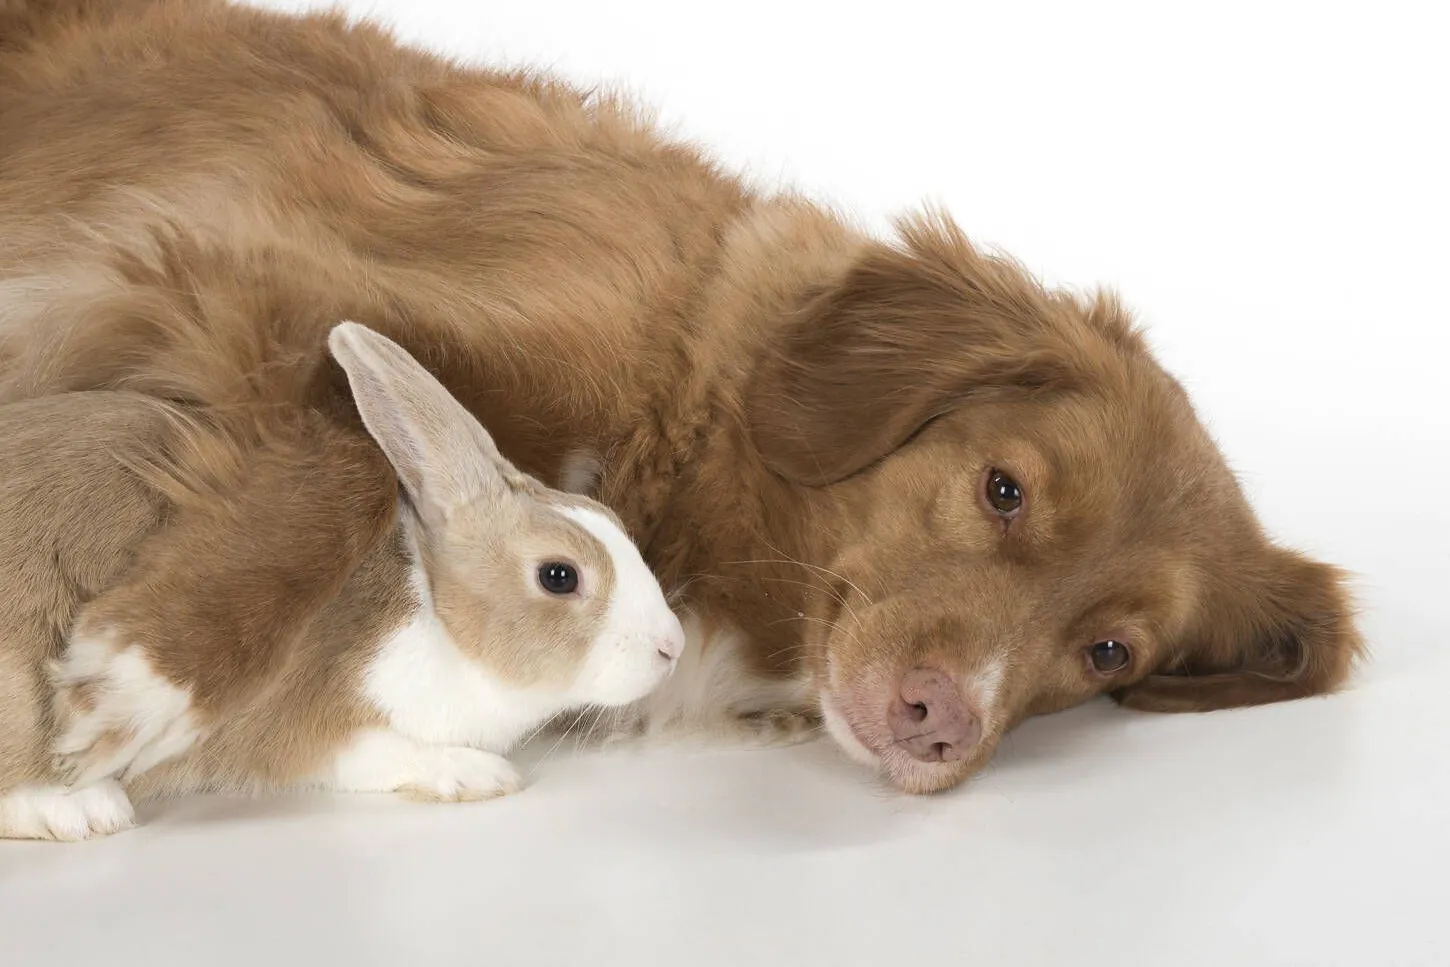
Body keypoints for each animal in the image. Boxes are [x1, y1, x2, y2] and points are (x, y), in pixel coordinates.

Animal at [0, 321, 685, 841]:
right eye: (558, 576)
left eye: (612, 521)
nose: (671, 646)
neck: (440, 615)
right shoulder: (316, 724)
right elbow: (379, 752)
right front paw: (477, 773)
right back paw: (82, 811)